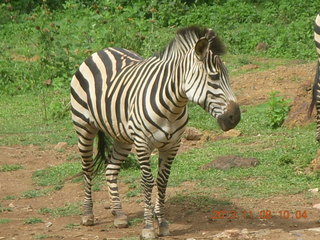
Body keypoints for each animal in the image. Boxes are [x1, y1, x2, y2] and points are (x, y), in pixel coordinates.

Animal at [70, 25, 240, 239]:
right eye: (214, 77)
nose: (236, 117)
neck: (172, 106)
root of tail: (102, 51)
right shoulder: (143, 144)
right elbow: (147, 182)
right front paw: (149, 227)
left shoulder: (172, 145)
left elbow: (162, 181)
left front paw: (163, 223)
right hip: (84, 127)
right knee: (88, 168)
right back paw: (87, 214)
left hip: (122, 137)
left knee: (110, 169)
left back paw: (119, 214)